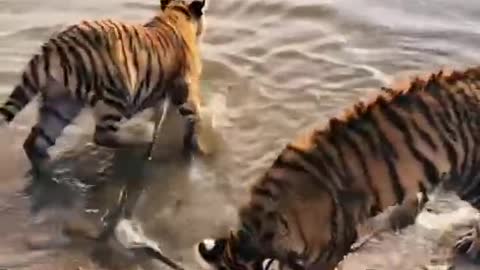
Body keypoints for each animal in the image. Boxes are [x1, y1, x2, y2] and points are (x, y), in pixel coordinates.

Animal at [0, 0, 209, 174]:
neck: (174, 13)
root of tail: (52, 48)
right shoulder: (188, 90)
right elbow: (193, 119)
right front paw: (198, 149)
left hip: (61, 104)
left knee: (35, 141)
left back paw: (47, 171)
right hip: (116, 93)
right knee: (102, 135)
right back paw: (141, 142)